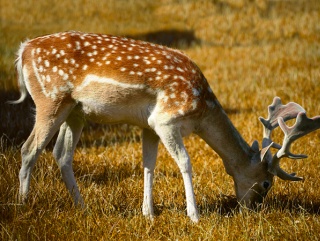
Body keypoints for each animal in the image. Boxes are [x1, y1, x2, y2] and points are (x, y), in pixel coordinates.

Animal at [10, 31, 320, 223]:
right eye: (267, 183)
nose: (253, 210)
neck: (201, 109)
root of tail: (23, 50)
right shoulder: (166, 119)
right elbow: (185, 162)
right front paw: (194, 216)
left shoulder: (149, 125)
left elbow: (149, 164)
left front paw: (148, 213)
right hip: (50, 99)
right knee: (29, 148)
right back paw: (23, 206)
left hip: (76, 112)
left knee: (61, 154)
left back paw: (82, 207)